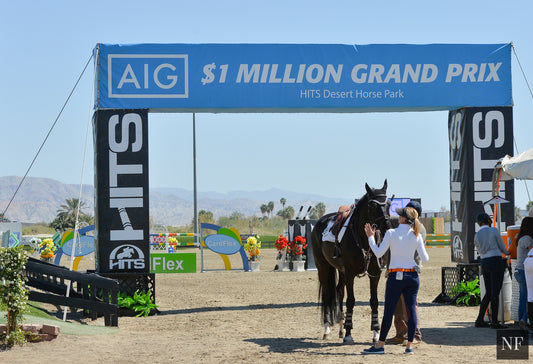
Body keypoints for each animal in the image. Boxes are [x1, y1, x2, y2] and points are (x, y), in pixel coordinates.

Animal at [308, 181, 390, 344]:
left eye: (388, 203)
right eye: (372, 205)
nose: (386, 226)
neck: (363, 239)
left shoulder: (375, 273)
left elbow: (374, 301)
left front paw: (376, 333)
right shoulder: (351, 273)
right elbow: (351, 300)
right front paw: (349, 334)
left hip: (342, 271)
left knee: (339, 291)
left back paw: (341, 327)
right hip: (323, 268)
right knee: (327, 295)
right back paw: (327, 329)